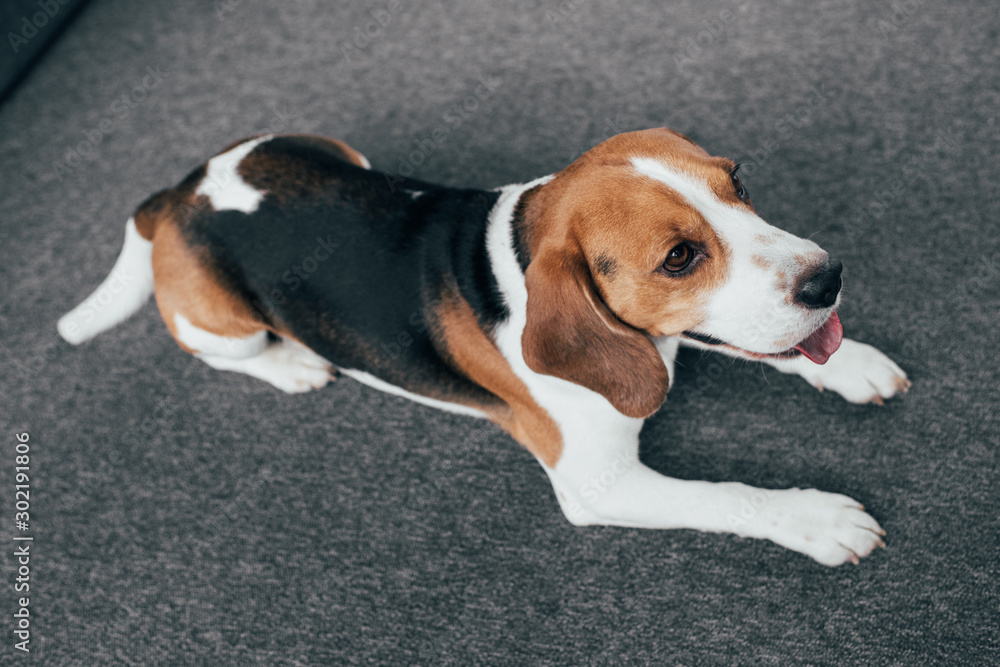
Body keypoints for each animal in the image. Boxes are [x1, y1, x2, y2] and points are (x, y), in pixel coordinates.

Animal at [58, 130, 912, 568]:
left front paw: (851, 361)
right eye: (679, 258)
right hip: (218, 327)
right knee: (221, 353)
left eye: (739, 183)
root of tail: (179, 193)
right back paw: (292, 363)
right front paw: (814, 518)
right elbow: (727, 493)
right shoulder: (599, 483)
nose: (829, 277)